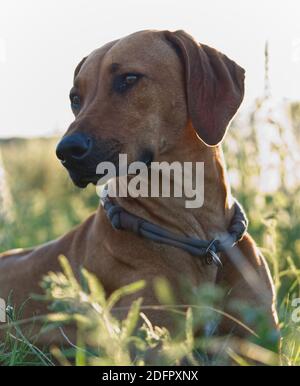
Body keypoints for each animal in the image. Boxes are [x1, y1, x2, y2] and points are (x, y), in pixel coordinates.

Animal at [0, 28, 278, 346]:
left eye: (129, 78)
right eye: (75, 98)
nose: (66, 151)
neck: (201, 237)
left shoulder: (260, 339)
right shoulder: (150, 340)